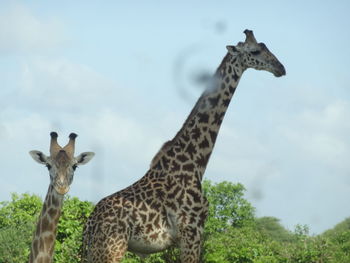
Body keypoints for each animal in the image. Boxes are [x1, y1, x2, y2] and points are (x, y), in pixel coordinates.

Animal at [81, 29, 284, 262]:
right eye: (255, 51)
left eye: (265, 46)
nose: (280, 68)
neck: (196, 161)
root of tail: (90, 224)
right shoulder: (192, 231)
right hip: (111, 248)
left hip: (95, 250)